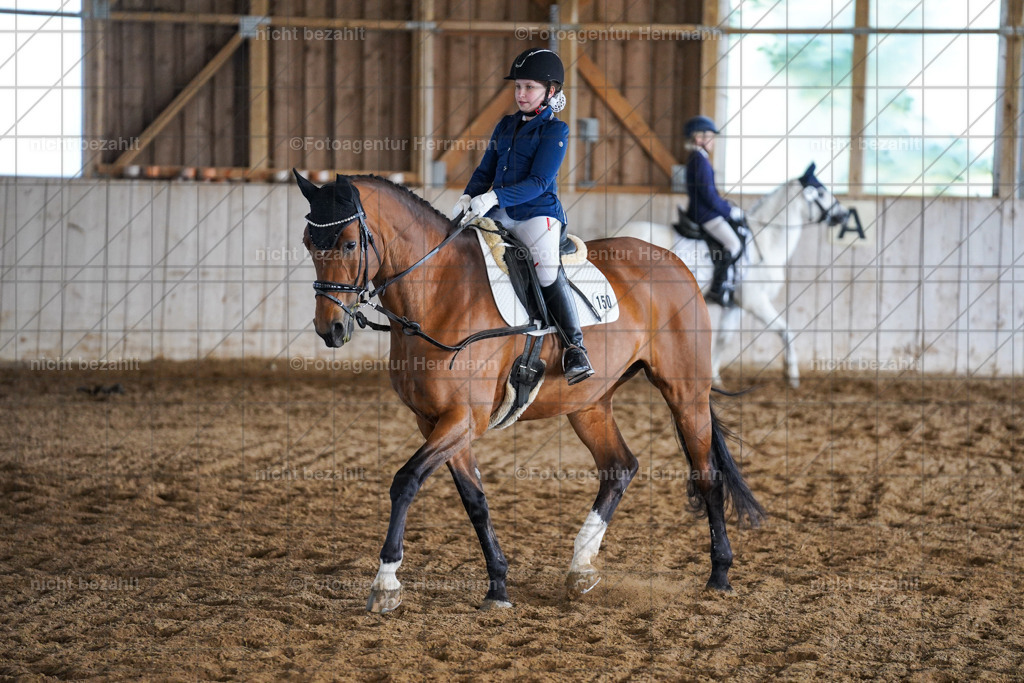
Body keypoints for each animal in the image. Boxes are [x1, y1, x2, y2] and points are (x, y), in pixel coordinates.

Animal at [294, 171, 765, 613]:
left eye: (349, 244)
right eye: (307, 242)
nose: (330, 329)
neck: (438, 293)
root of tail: (673, 261)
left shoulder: (463, 418)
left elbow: (406, 481)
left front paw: (386, 583)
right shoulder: (436, 422)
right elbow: (475, 500)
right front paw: (498, 586)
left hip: (685, 394)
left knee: (706, 477)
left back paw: (719, 575)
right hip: (589, 404)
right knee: (619, 467)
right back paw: (581, 569)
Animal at [618, 163, 851, 388]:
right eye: (820, 192)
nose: (844, 214)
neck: (765, 241)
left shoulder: (735, 306)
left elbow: (724, 338)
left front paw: (714, 377)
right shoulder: (755, 301)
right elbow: (785, 330)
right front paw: (791, 374)